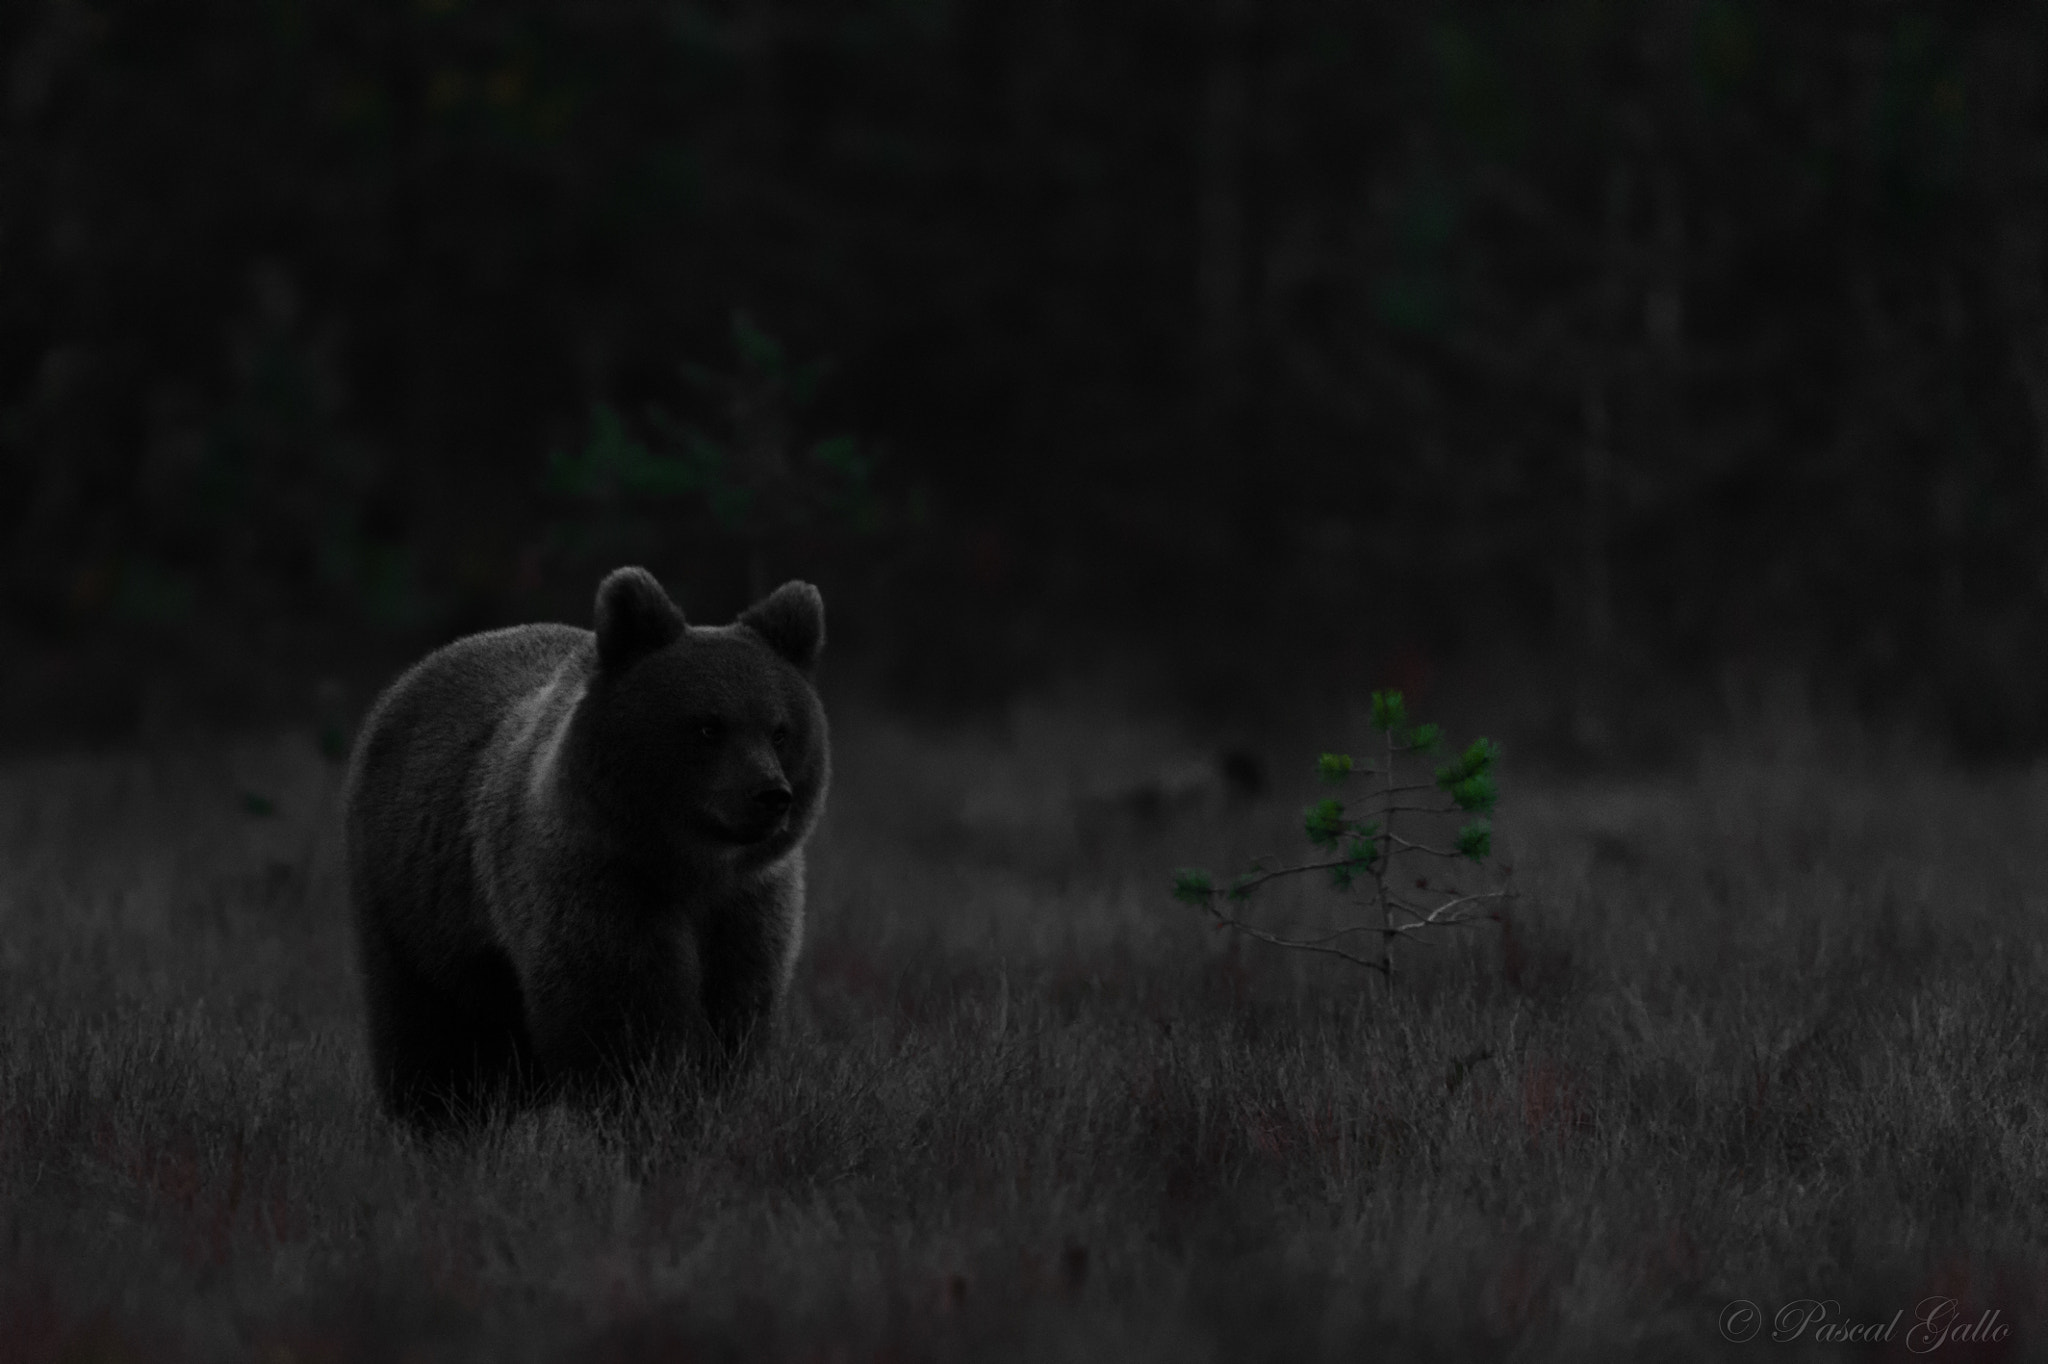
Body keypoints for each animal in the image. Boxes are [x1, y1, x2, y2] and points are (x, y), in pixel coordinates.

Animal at [342, 566, 829, 1129]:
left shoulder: (749, 906)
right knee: (430, 1027)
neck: (689, 865)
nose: (770, 795)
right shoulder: (598, 881)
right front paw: (649, 1106)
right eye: (709, 726)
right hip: (417, 898)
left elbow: (735, 1011)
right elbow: (620, 1014)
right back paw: (438, 1118)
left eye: (780, 730)